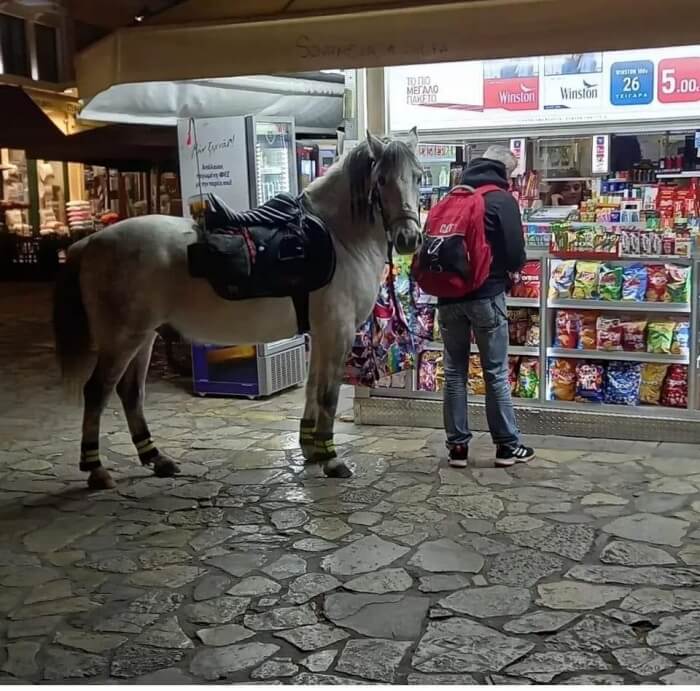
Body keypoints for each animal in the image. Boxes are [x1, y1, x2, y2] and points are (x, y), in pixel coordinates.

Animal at [53, 127, 422, 490]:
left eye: (418, 176)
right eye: (382, 180)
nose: (409, 239)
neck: (339, 238)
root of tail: (92, 241)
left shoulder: (320, 334)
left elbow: (311, 388)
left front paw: (311, 449)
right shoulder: (337, 332)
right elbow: (328, 394)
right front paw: (331, 459)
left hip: (144, 337)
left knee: (130, 393)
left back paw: (156, 458)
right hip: (122, 339)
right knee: (97, 391)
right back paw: (97, 470)